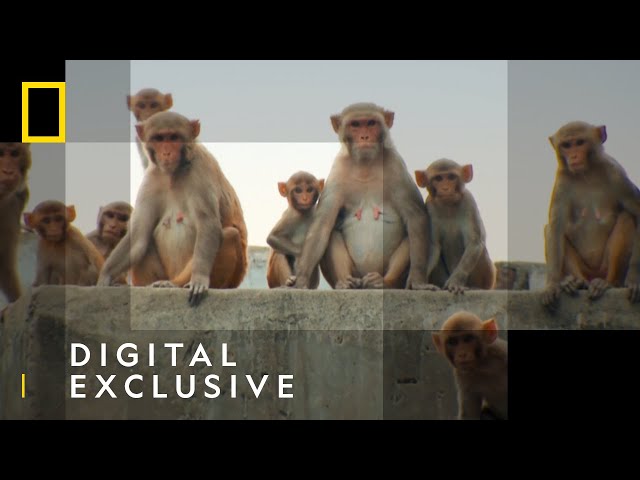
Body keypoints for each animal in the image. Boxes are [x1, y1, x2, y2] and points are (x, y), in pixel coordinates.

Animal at [97, 111, 248, 306]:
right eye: (159, 138)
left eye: (174, 137)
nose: (167, 152)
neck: (175, 173)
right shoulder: (152, 178)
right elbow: (138, 234)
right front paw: (105, 277)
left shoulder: (201, 170)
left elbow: (208, 225)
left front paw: (198, 278)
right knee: (144, 241)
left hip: (233, 278)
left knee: (230, 234)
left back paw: (175, 284)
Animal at [289, 103, 432, 290]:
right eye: (355, 125)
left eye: (371, 123)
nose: (364, 136)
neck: (365, 165)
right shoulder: (338, 172)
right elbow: (322, 226)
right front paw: (301, 279)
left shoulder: (396, 168)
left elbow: (416, 218)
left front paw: (418, 281)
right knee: (331, 233)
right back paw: (345, 282)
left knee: (410, 237)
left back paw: (383, 282)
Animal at [415, 159, 495, 294]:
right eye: (438, 178)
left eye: (451, 177)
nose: (445, 188)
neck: (448, 205)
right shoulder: (430, 206)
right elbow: (433, 245)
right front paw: (421, 283)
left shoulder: (469, 201)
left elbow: (474, 242)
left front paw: (455, 282)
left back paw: (475, 287)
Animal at [542, 122, 640, 309]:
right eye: (566, 145)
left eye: (580, 142)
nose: (573, 156)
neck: (586, 172)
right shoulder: (562, 180)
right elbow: (555, 228)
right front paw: (552, 284)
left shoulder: (617, 176)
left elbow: (638, 213)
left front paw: (634, 279)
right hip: (585, 269)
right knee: (552, 229)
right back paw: (575, 282)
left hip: (604, 267)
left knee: (627, 218)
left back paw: (608, 283)